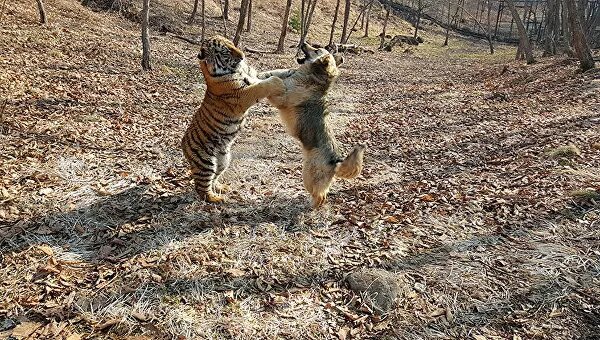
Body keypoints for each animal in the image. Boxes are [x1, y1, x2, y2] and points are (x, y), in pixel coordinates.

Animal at [180, 35, 286, 203]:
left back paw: (222, 188)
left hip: (223, 160)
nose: (242, 56)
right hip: (205, 163)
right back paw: (217, 198)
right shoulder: (242, 95)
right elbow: (263, 85)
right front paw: (278, 82)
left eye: (232, 44)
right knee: (202, 188)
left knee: (214, 179)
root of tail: (183, 145)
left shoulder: (254, 76)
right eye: (225, 51)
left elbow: (269, 74)